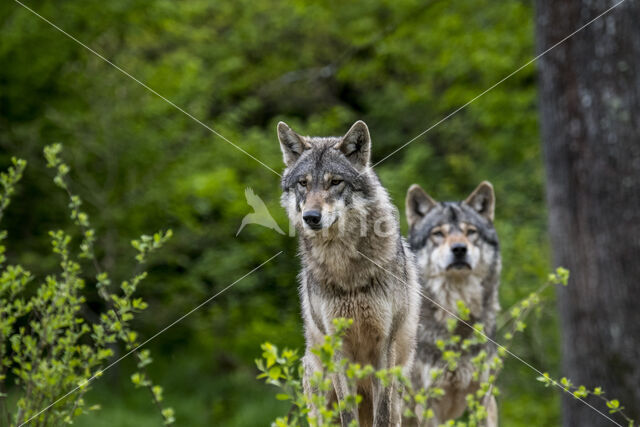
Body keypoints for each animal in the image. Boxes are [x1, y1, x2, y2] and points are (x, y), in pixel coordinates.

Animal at [276, 120, 420, 427]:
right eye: (303, 183)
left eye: (335, 182)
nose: (311, 217)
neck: (346, 270)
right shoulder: (338, 349)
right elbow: (347, 414)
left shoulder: (384, 346)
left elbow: (382, 415)